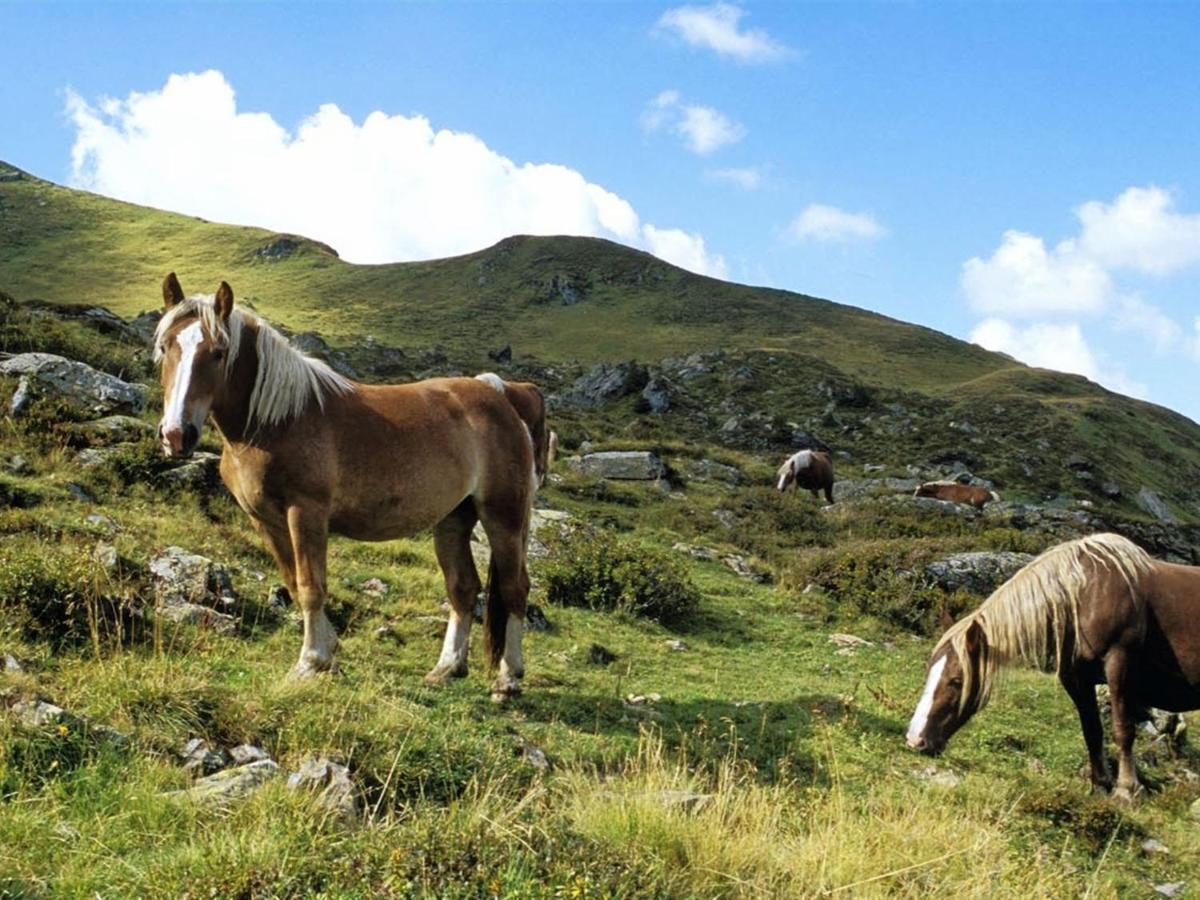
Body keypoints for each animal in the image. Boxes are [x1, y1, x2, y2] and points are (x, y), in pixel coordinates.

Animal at [152, 274, 547, 705]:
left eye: (219, 352)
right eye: (165, 347)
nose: (177, 435)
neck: (277, 421)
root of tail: (503, 397)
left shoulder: (306, 513)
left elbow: (311, 586)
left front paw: (310, 662)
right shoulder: (266, 521)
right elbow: (294, 583)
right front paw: (330, 656)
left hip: (503, 515)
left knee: (514, 587)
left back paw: (508, 680)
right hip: (453, 520)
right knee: (462, 588)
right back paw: (446, 668)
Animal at [902, 532, 1200, 801]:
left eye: (956, 681)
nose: (915, 740)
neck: (1087, 594)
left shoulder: (1119, 664)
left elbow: (1122, 729)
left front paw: (1127, 790)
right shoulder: (1076, 678)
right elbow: (1092, 731)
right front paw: (1100, 786)